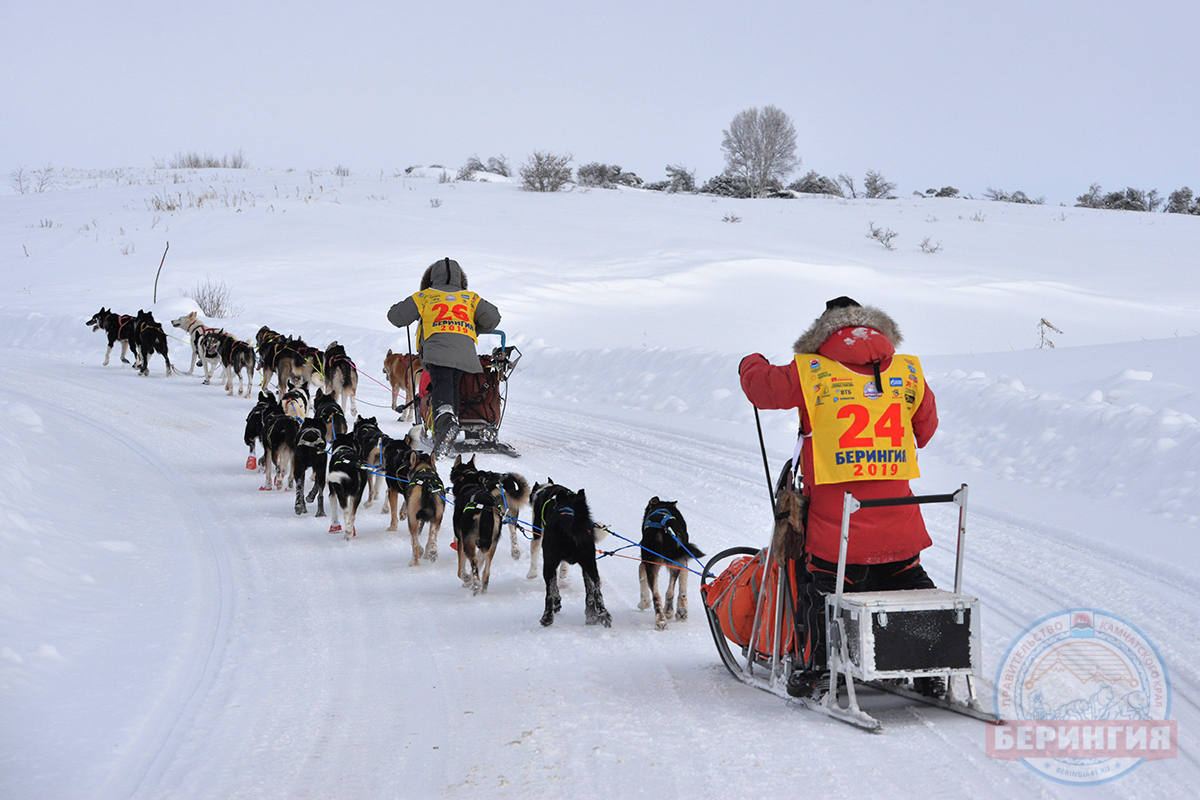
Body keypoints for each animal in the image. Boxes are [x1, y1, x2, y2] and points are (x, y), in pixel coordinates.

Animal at [532, 482, 614, 623]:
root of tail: (569, 524)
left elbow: (554, 589)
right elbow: (590, 591)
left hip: (549, 564)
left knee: (549, 593)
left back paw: (547, 616)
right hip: (590, 565)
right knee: (596, 591)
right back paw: (598, 615)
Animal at [638, 501, 700, 633]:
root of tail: (664, 528)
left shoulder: (644, 563)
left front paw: (644, 603)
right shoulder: (683, 559)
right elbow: (682, 588)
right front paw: (682, 612)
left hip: (652, 564)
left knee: (657, 595)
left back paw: (661, 620)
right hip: (675, 562)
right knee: (669, 591)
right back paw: (666, 614)